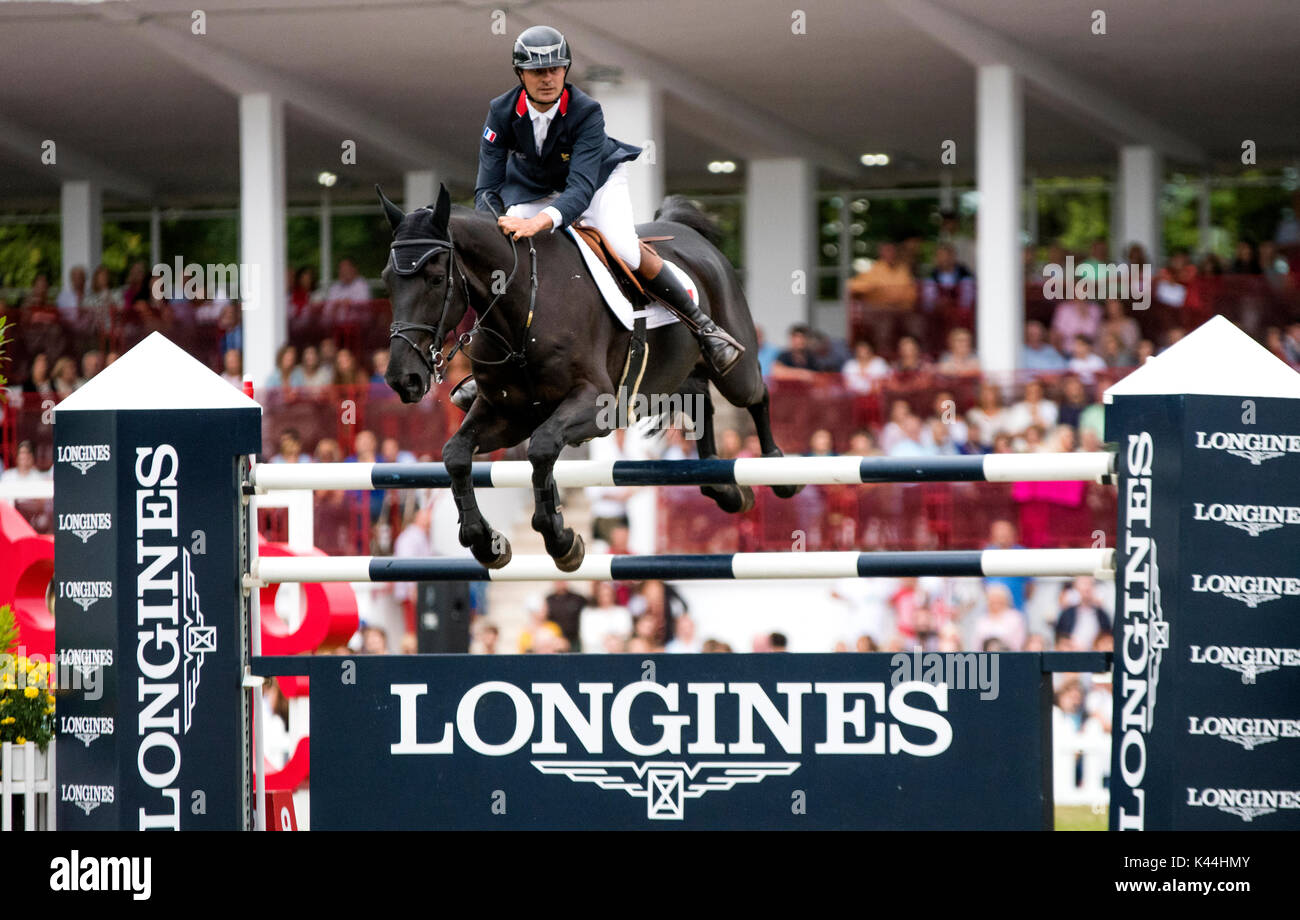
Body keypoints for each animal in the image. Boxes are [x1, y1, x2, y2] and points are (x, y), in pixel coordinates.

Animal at [379, 183, 800, 571]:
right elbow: (456, 454)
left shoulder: (595, 404)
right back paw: (724, 485)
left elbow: (542, 448)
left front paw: (561, 539)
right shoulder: (507, 415)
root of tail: (684, 230)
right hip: (669, 380)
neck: (523, 315)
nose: (403, 379)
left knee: (755, 394)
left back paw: (778, 470)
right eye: (387, 279)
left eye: (436, 278)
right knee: (701, 404)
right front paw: (486, 542)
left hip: (734, 369)